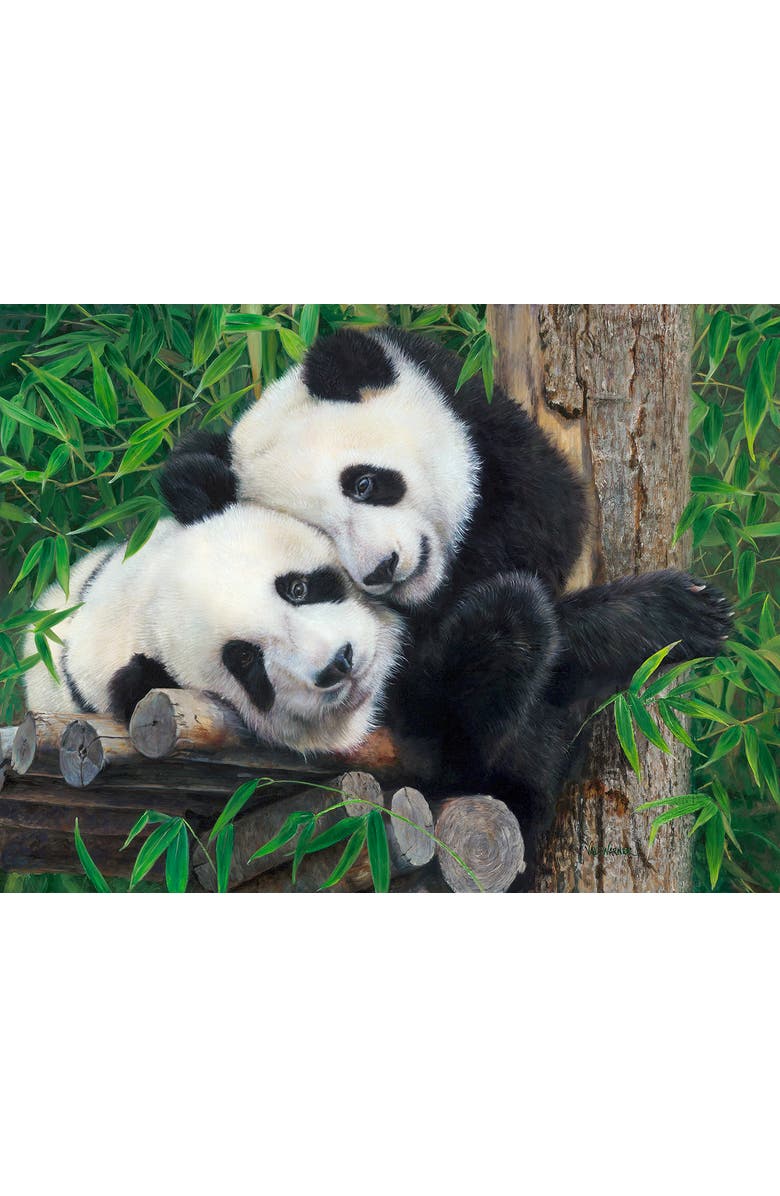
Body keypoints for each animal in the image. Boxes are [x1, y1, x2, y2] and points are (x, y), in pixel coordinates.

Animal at [159, 327, 732, 865]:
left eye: (363, 484)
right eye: (319, 533)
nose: (383, 569)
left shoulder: (491, 438)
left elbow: (549, 518)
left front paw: (686, 613)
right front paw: (665, 616)